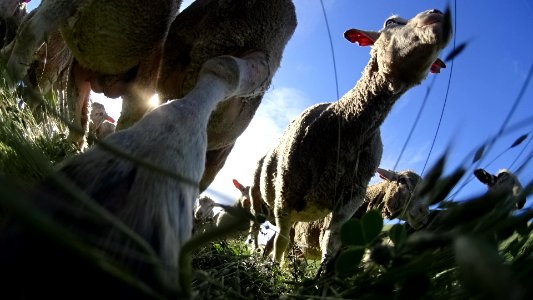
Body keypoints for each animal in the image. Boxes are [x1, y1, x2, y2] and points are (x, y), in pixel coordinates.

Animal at [248, 8, 448, 264]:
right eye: (391, 22)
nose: (436, 16)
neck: (345, 127)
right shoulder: (286, 194)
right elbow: (281, 241)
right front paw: (273, 269)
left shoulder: (350, 199)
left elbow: (331, 246)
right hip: (259, 202)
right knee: (258, 230)